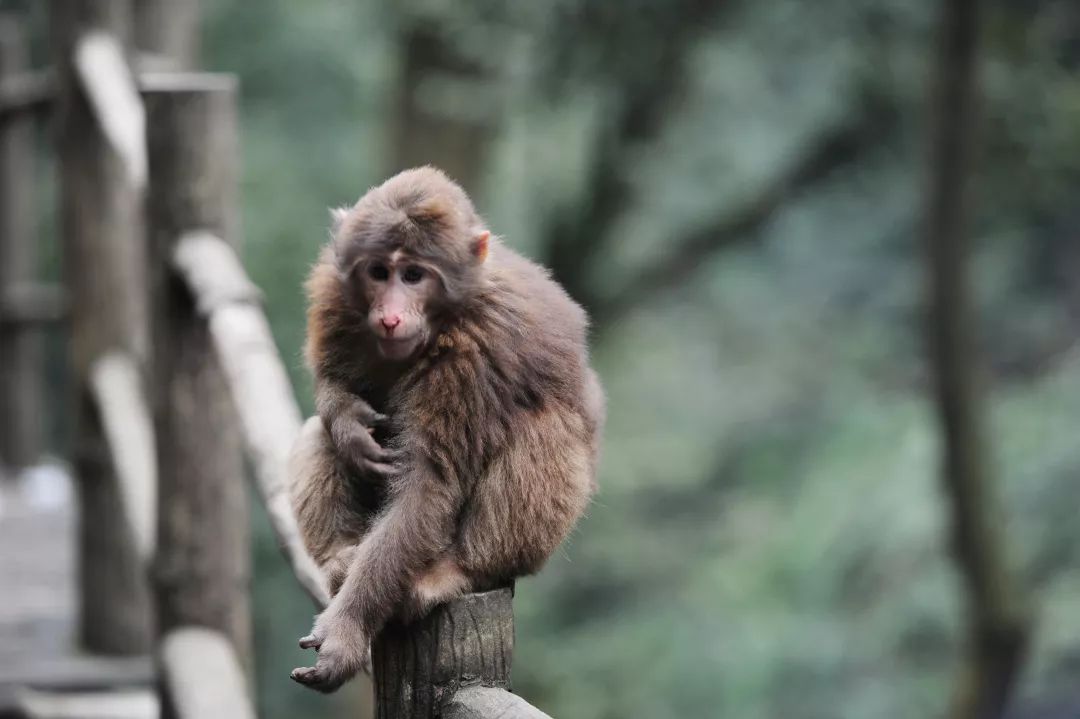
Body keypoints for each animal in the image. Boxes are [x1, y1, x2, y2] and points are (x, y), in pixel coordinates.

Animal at [287, 166, 604, 690]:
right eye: (379, 272)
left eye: (414, 275)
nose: (390, 315)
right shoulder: (332, 294)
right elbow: (333, 387)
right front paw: (348, 421)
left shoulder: (469, 351)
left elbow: (428, 483)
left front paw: (347, 629)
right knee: (318, 433)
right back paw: (340, 557)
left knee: (543, 428)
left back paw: (458, 571)